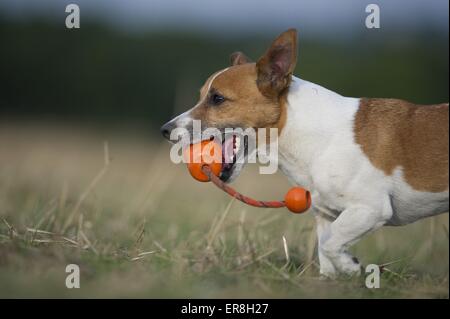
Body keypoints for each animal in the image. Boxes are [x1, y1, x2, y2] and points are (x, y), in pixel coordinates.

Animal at [160, 29, 448, 278]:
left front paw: (351, 266)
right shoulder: (326, 215)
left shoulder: (371, 208)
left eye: (217, 99)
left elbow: (332, 245)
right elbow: (326, 249)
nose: (165, 130)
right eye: (201, 96)